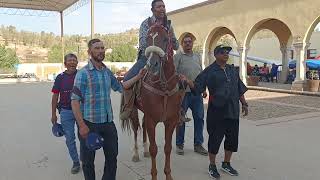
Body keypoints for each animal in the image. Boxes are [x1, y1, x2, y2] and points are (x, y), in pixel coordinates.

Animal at [121, 21, 184, 180]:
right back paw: (136, 153)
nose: (152, 65)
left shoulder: (171, 121)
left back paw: (144, 151)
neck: (163, 86)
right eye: (148, 39)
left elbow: (167, 148)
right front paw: (154, 175)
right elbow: (154, 148)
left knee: (142, 127)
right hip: (133, 111)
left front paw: (168, 175)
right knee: (136, 129)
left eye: (166, 39)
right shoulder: (152, 120)